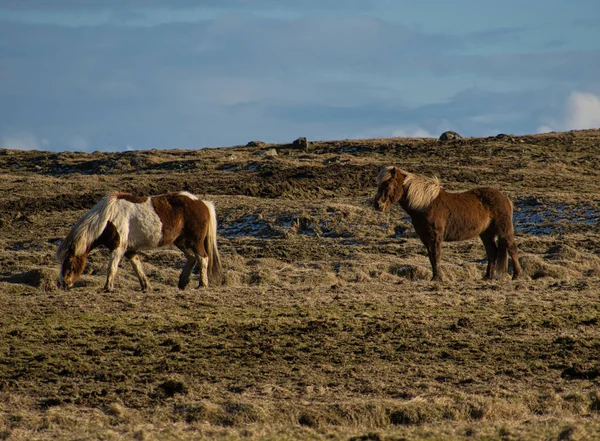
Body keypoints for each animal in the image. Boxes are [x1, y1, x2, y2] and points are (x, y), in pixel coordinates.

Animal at [55, 191, 220, 290]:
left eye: (69, 263)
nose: (63, 283)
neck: (108, 219)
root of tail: (202, 203)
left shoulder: (118, 247)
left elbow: (112, 267)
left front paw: (108, 287)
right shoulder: (129, 250)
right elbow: (137, 266)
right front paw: (145, 286)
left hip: (195, 242)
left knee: (203, 258)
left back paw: (202, 285)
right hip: (181, 241)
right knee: (192, 258)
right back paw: (182, 283)